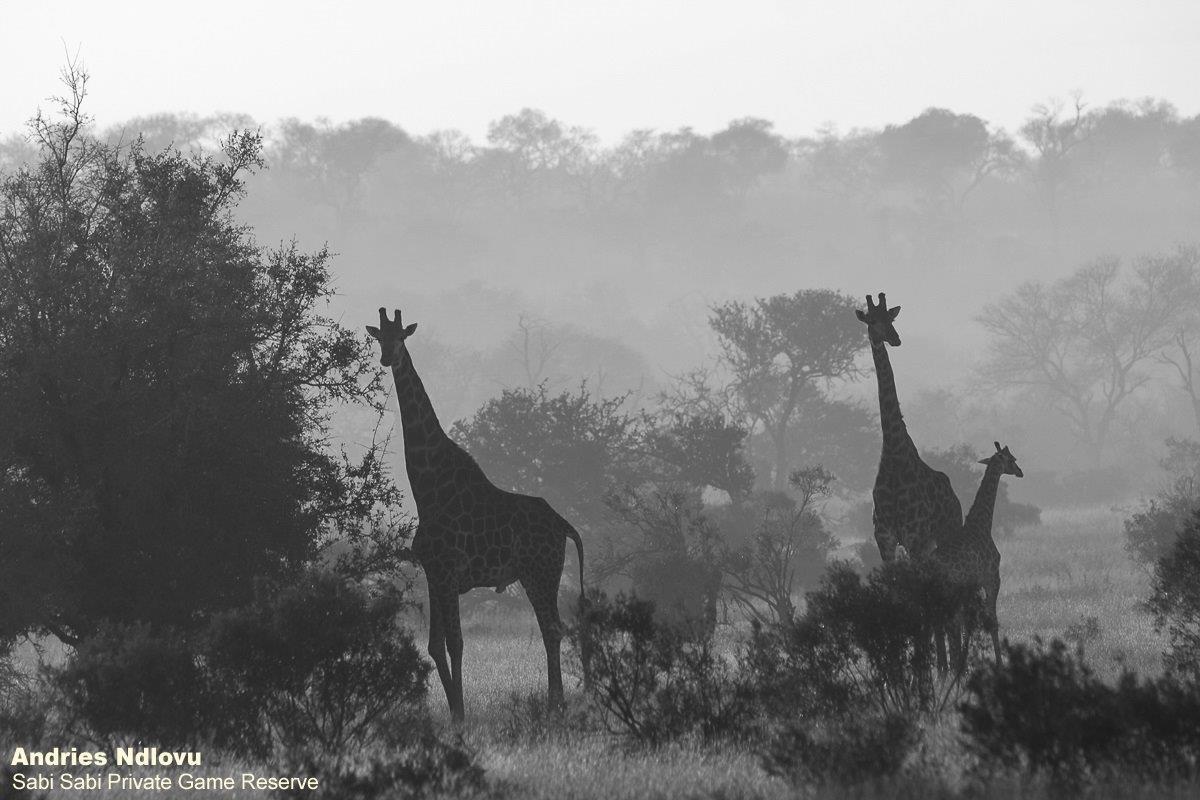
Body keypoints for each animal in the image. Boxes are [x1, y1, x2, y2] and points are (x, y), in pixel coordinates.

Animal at [366, 307, 585, 722]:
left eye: (402, 337)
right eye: (379, 339)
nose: (388, 359)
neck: (428, 487)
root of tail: (564, 525)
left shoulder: (449, 569)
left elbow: (456, 642)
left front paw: (462, 712)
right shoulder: (434, 572)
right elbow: (435, 645)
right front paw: (454, 708)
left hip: (540, 572)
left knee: (553, 628)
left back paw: (555, 704)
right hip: (539, 575)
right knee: (555, 628)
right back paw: (557, 702)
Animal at [856, 292, 963, 563]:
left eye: (891, 318)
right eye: (872, 320)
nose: (895, 339)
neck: (893, 453)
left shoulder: (914, 535)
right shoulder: (884, 538)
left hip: (946, 535)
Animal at [934, 442, 1023, 670]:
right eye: (1012, 460)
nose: (1020, 472)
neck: (982, 524)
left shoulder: (971, 585)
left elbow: (968, 623)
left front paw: (964, 663)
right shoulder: (991, 578)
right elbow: (991, 621)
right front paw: (999, 663)